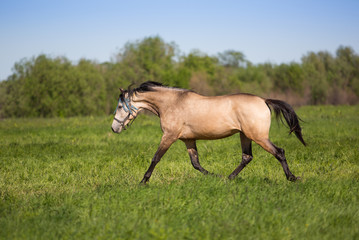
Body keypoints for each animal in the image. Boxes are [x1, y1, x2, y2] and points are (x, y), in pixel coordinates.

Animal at [110, 81, 306, 184]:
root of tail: (264, 100)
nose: (114, 128)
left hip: (259, 137)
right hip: (245, 136)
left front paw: (143, 181)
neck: (172, 103)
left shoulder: (169, 136)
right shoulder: (188, 140)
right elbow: (196, 163)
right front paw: (215, 176)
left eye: (119, 107)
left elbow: (156, 158)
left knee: (279, 152)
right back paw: (229, 177)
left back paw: (291, 177)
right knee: (247, 157)